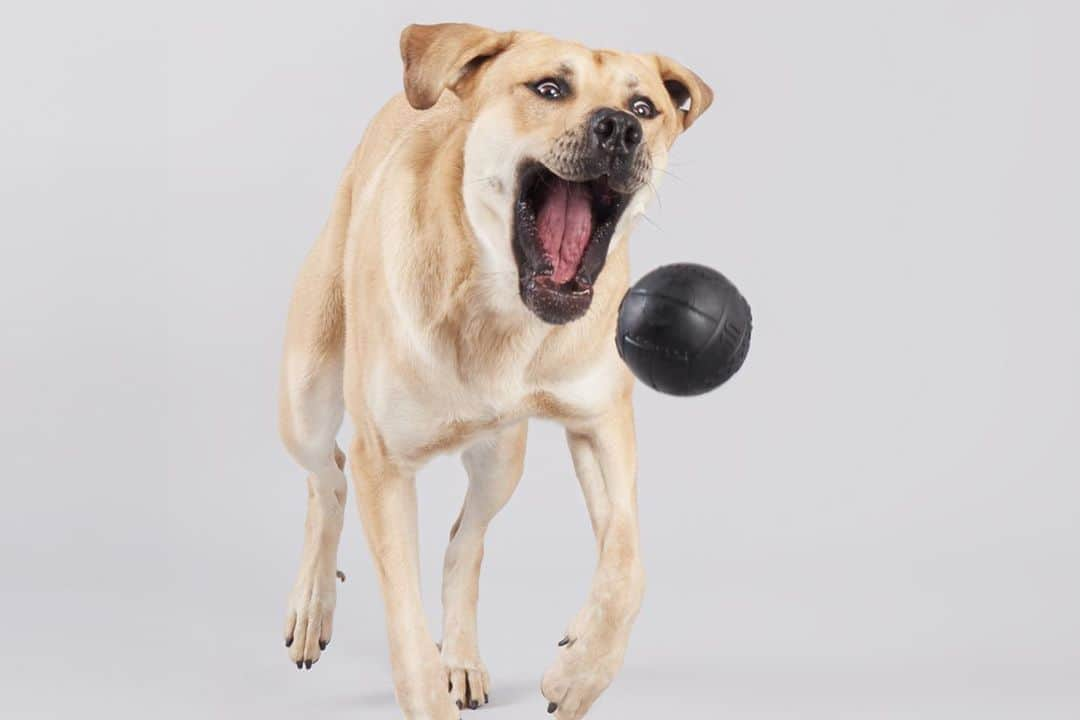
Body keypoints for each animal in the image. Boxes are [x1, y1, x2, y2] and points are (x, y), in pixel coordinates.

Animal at [278, 23, 708, 720]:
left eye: (645, 107)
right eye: (549, 88)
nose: (619, 128)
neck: (501, 315)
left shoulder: (601, 422)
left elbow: (629, 563)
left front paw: (579, 672)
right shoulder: (384, 464)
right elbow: (404, 623)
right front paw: (428, 694)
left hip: (502, 458)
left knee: (465, 539)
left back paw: (463, 656)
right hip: (305, 401)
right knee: (328, 476)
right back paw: (314, 604)